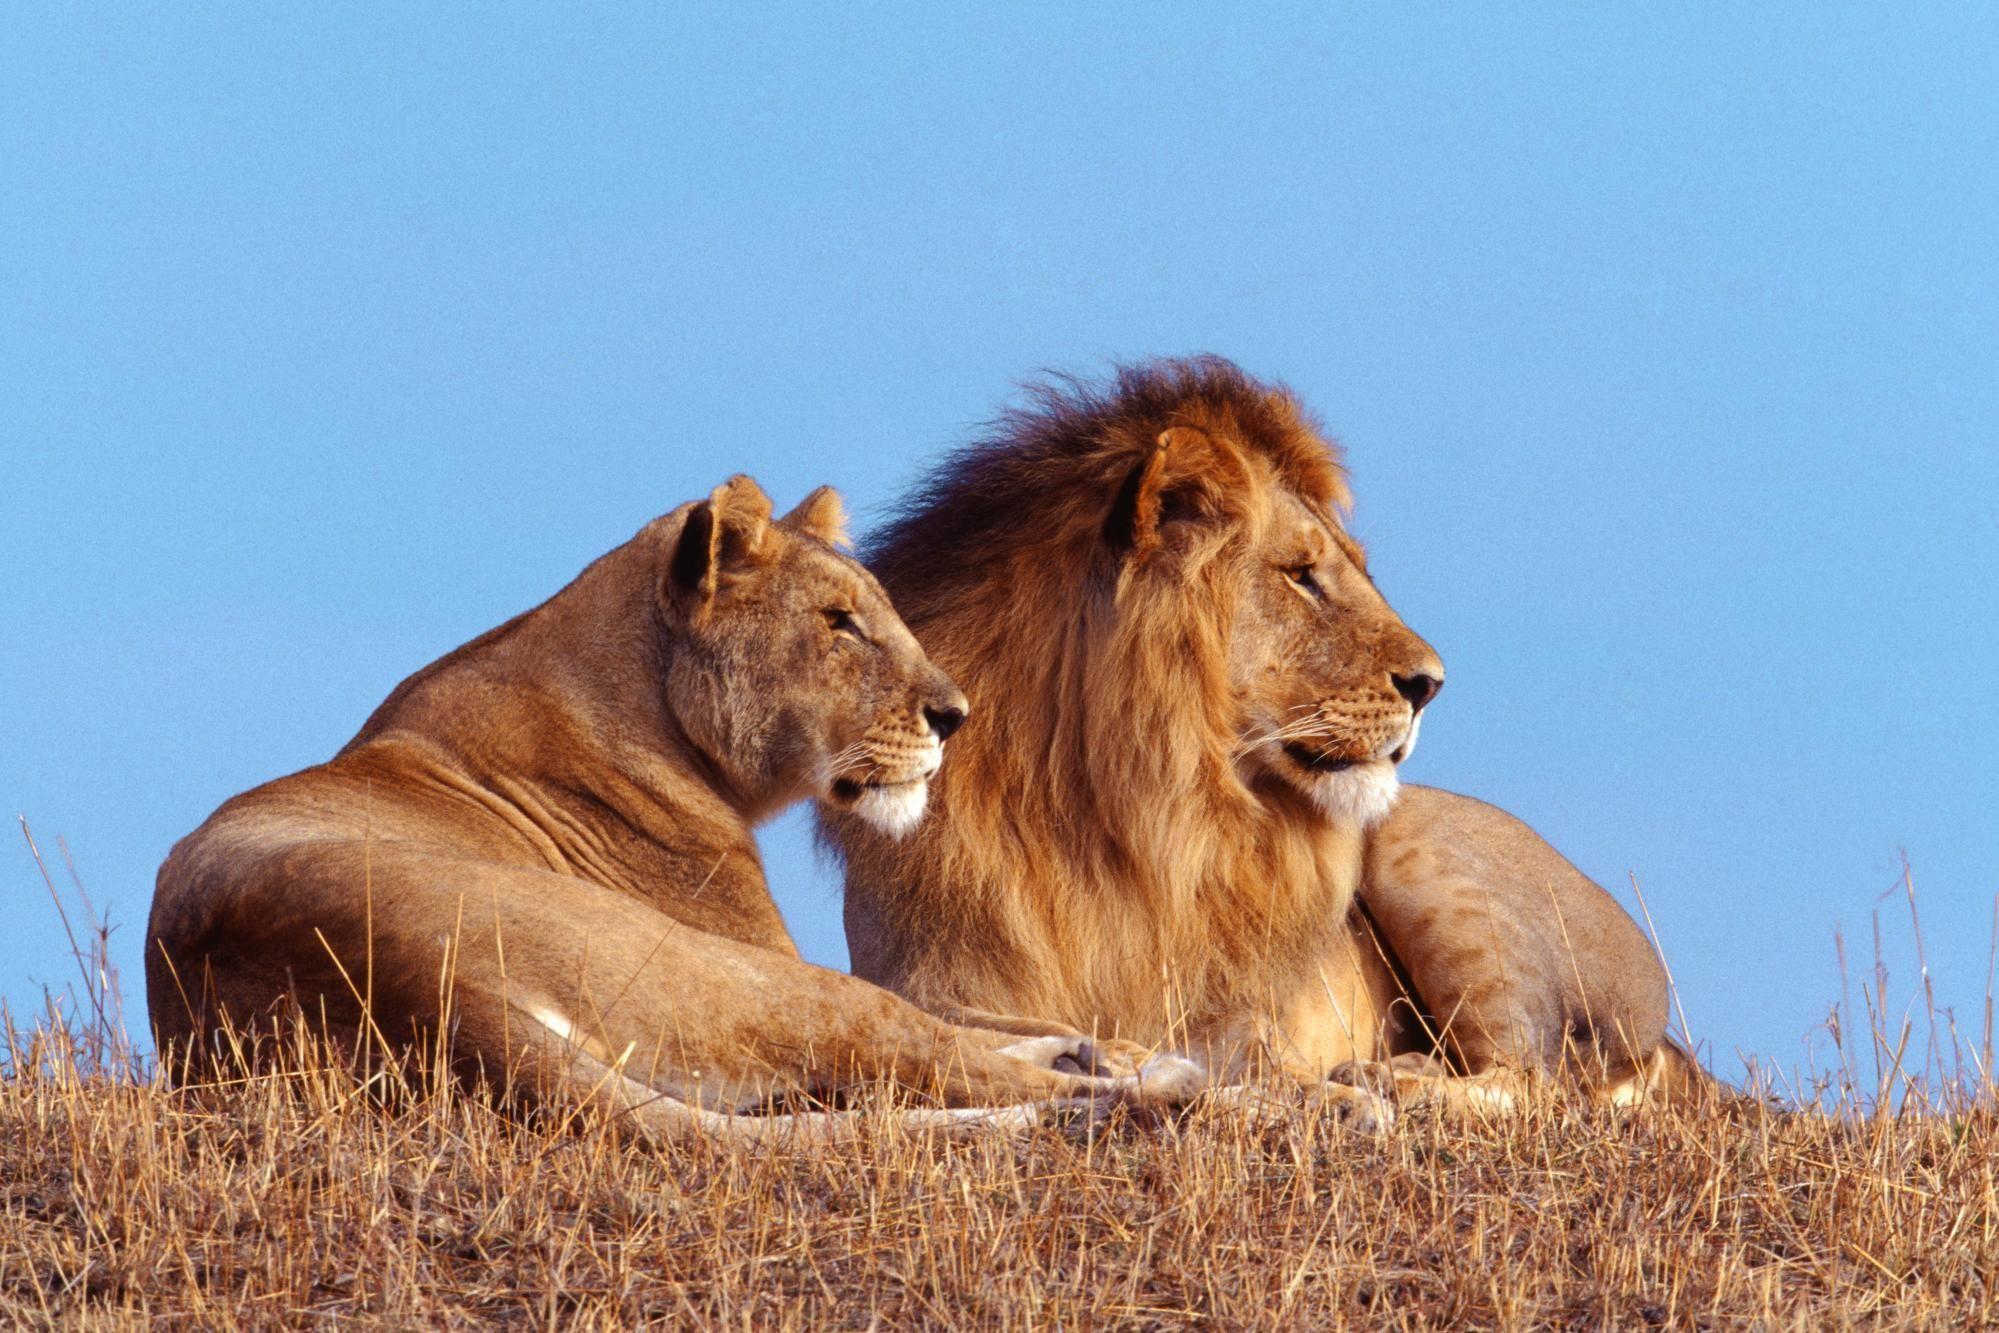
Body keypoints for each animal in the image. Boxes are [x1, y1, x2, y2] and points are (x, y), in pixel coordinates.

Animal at [146, 475, 1202, 1144]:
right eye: (837, 622)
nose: (956, 714)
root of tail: (418, 990)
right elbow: (947, 1024)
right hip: (739, 978)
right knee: (929, 1055)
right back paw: (1155, 1084)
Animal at [823, 359, 1706, 1122]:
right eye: (1301, 574)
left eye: (1351, 568)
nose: (1431, 682)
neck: (1110, 811)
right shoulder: (918, 974)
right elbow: (959, 1027)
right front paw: (1093, 1056)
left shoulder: (1236, 1011)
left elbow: (1249, 1057)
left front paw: (1309, 1094)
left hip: (1421, 848)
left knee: (1538, 1079)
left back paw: (1392, 1080)